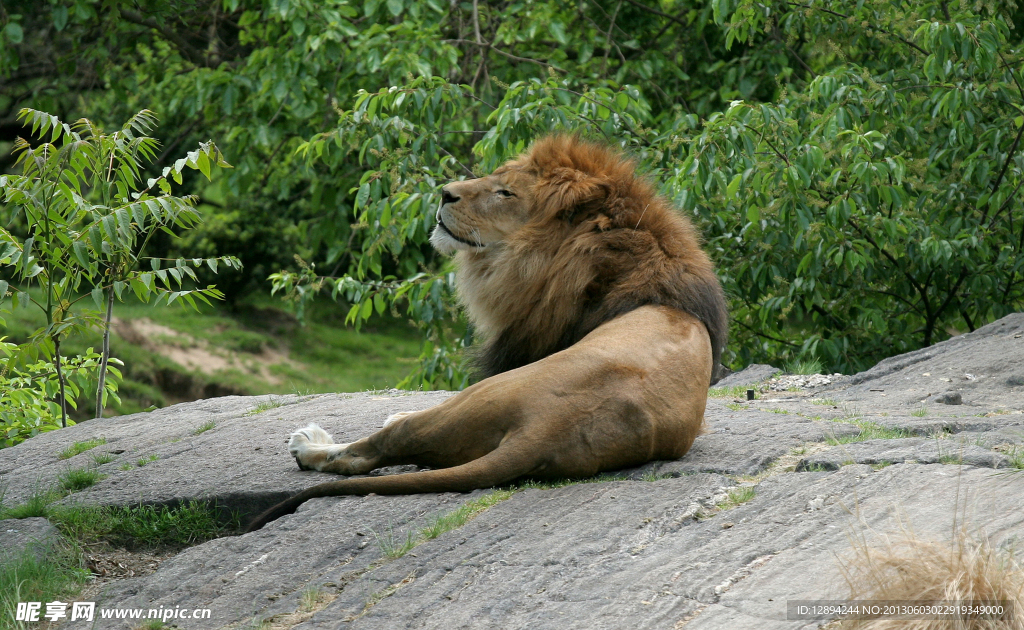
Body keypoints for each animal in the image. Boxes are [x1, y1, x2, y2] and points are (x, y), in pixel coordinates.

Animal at [247, 135, 729, 528]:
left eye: (505, 193)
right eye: (496, 179)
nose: (445, 192)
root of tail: (545, 430)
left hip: (479, 395)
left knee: (369, 452)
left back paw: (310, 444)